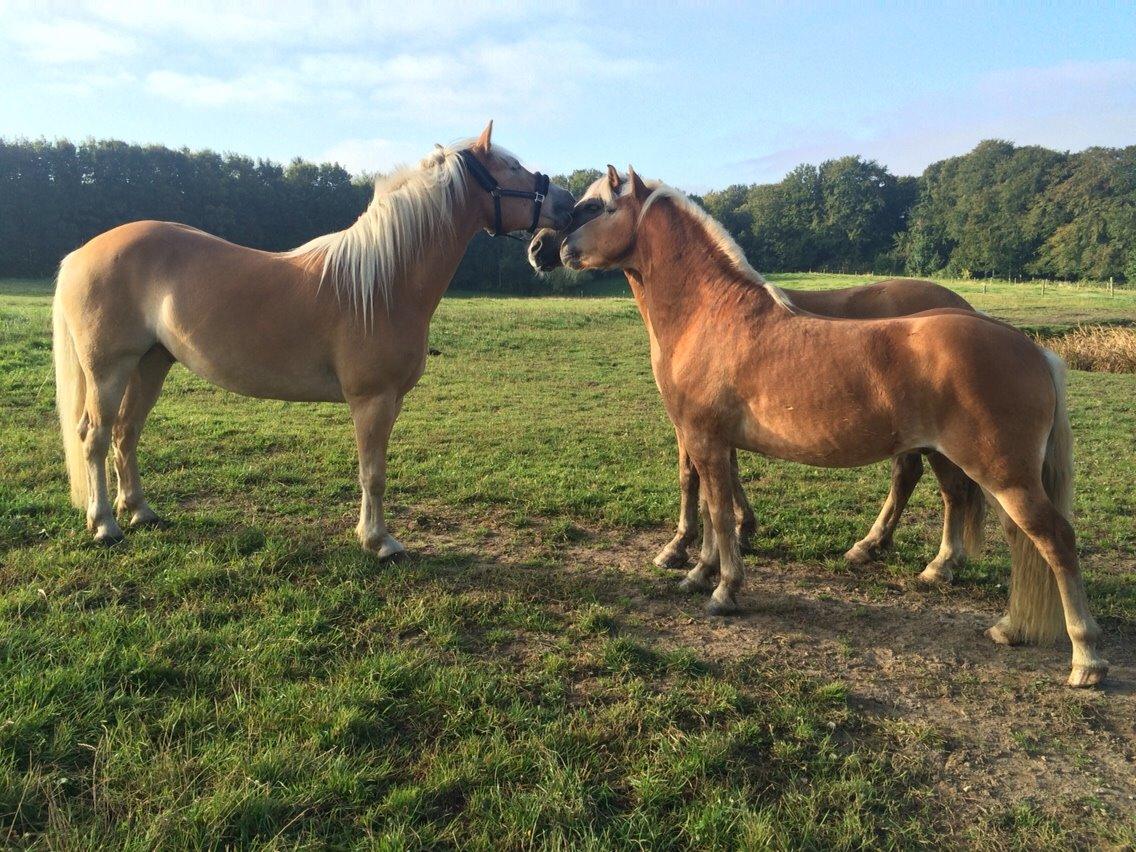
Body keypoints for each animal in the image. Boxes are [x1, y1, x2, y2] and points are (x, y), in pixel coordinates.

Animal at [49, 123, 572, 556]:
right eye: (511, 167)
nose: (567, 203)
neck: (385, 280)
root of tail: (80, 254)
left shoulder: (392, 400)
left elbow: (374, 470)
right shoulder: (372, 399)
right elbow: (373, 474)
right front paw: (379, 541)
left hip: (150, 363)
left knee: (126, 433)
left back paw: (139, 511)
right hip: (108, 369)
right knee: (95, 436)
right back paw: (105, 525)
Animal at [527, 198, 981, 586]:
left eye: (588, 206)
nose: (537, 247)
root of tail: (966, 310)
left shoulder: (690, 423)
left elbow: (691, 477)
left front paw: (680, 547)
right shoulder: (714, 423)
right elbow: (726, 472)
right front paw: (739, 532)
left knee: (944, 489)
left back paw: (932, 563)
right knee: (908, 477)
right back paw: (872, 546)